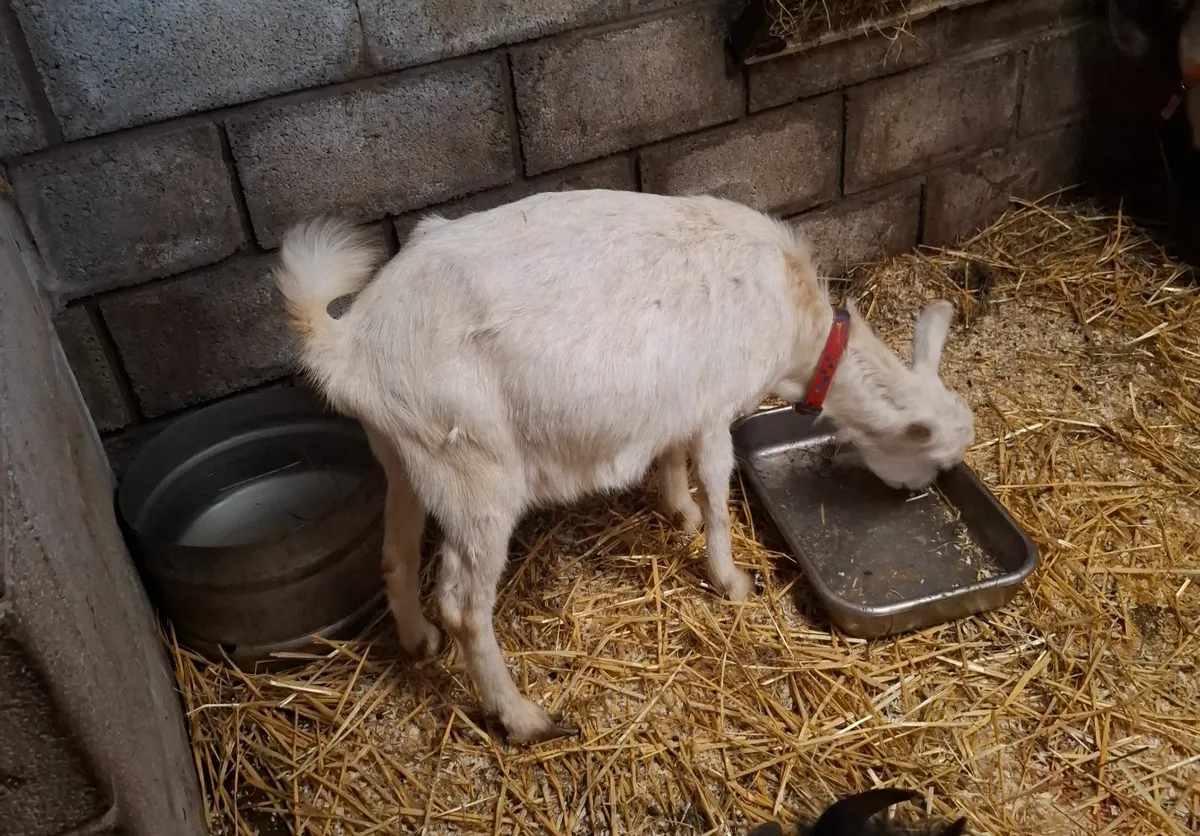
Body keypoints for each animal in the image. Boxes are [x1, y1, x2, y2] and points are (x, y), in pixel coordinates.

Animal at [274, 190, 975, 743]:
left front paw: (678, 512)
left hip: (406, 455)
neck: (796, 320)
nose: (916, 494)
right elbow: (717, 484)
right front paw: (731, 578)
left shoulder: (678, 400)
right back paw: (523, 718)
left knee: (395, 556)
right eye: (937, 461)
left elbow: (670, 455)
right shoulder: (715, 404)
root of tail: (349, 345)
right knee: (465, 604)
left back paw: (419, 642)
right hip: (474, 468)